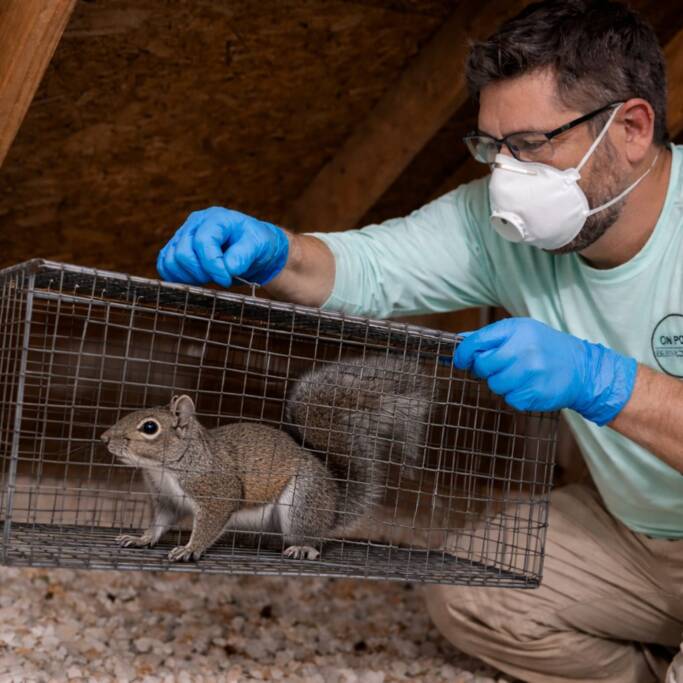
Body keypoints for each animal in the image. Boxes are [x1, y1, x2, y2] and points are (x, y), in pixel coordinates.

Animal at [100, 354, 432, 563]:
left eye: (150, 428)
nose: (104, 438)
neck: (165, 469)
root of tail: (333, 504)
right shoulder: (166, 498)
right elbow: (160, 523)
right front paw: (142, 538)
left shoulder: (217, 493)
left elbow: (210, 524)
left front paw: (190, 549)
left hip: (302, 501)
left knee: (313, 538)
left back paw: (303, 548)